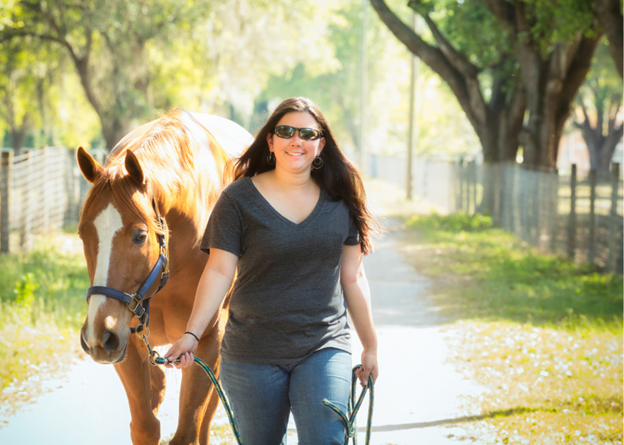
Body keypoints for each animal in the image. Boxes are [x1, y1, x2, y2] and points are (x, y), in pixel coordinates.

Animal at [77, 108, 252, 444]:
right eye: (82, 234)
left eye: (140, 236)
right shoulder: (128, 341)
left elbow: (189, 430)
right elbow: (145, 426)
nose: (98, 335)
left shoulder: (208, 340)